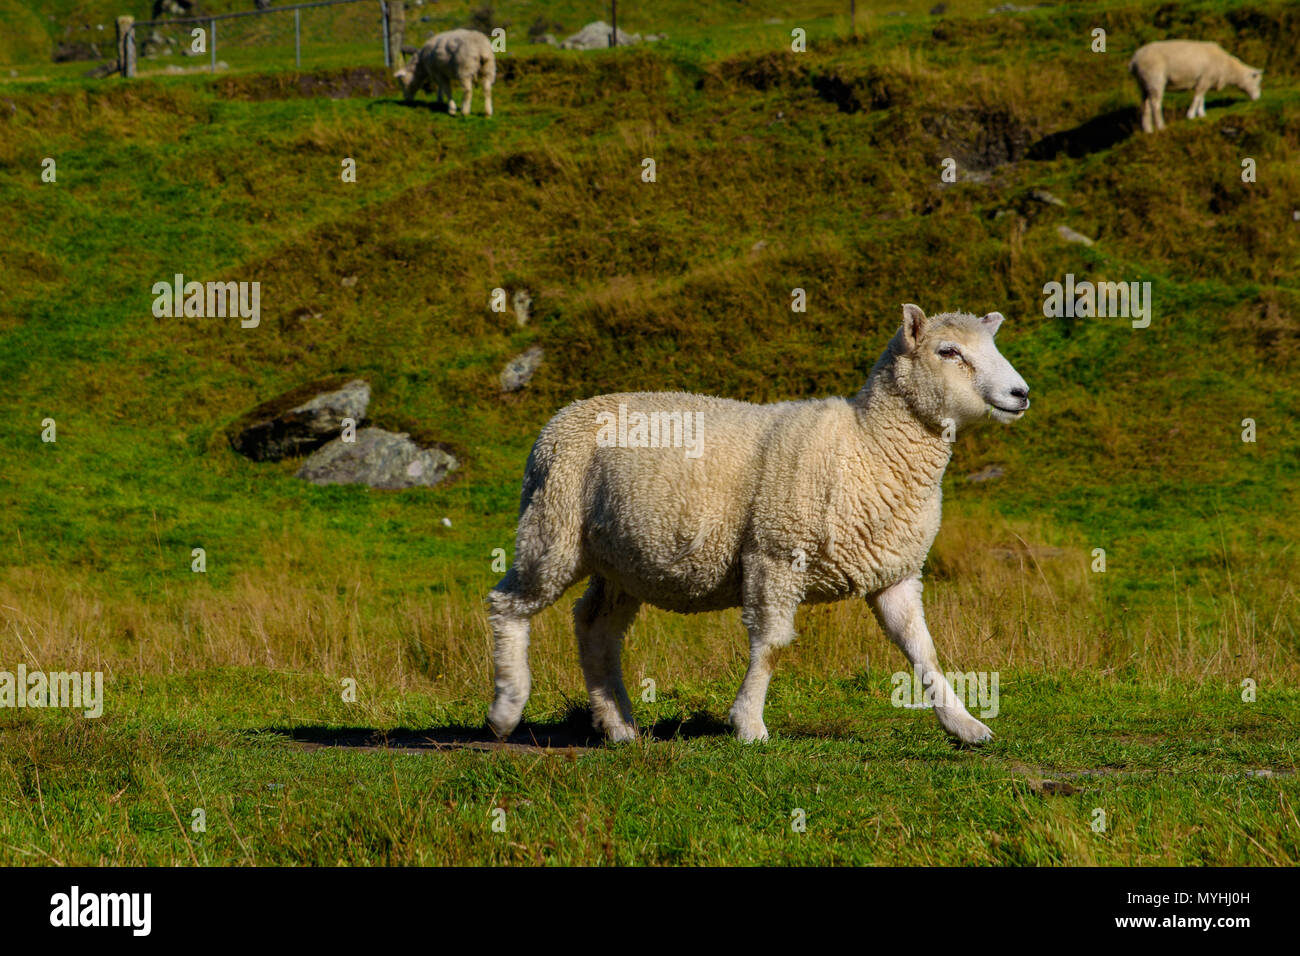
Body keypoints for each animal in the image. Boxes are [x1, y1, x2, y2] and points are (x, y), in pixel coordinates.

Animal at [483, 306, 1029, 749]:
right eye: (948, 351)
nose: (1020, 393)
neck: (868, 444)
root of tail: (562, 416)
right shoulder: (776, 553)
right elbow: (771, 646)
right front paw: (748, 725)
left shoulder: (894, 573)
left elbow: (922, 651)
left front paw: (965, 725)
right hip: (552, 526)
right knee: (507, 604)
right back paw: (506, 709)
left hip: (621, 560)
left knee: (595, 625)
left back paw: (617, 725)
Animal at [1128, 40, 1258, 132]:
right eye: (1256, 81)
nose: (1257, 98)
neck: (1227, 67)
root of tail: (1135, 59)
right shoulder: (1205, 78)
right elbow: (1197, 97)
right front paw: (1191, 115)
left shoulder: (1206, 80)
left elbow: (1201, 97)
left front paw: (1201, 113)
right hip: (1155, 79)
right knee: (1155, 104)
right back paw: (1161, 126)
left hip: (1144, 83)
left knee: (1145, 104)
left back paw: (1148, 129)